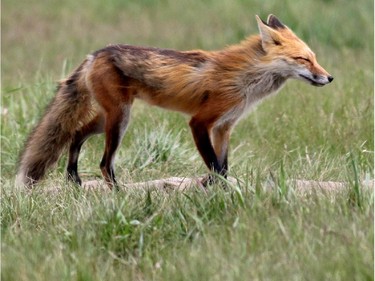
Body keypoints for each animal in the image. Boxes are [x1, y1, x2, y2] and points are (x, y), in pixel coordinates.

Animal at [16, 13, 334, 188]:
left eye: (315, 58)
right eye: (304, 59)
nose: (329, 78)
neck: (248, 79)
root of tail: (96, 53)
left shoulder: (224, 127)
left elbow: (223, 165)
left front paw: (214, 187)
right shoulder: (201, 122)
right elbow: (215, 165)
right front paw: (216, 189)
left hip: (108, 118)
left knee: (76, 134)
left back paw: (73, 180)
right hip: (119, 120)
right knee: (105, 163)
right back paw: (118, 193)